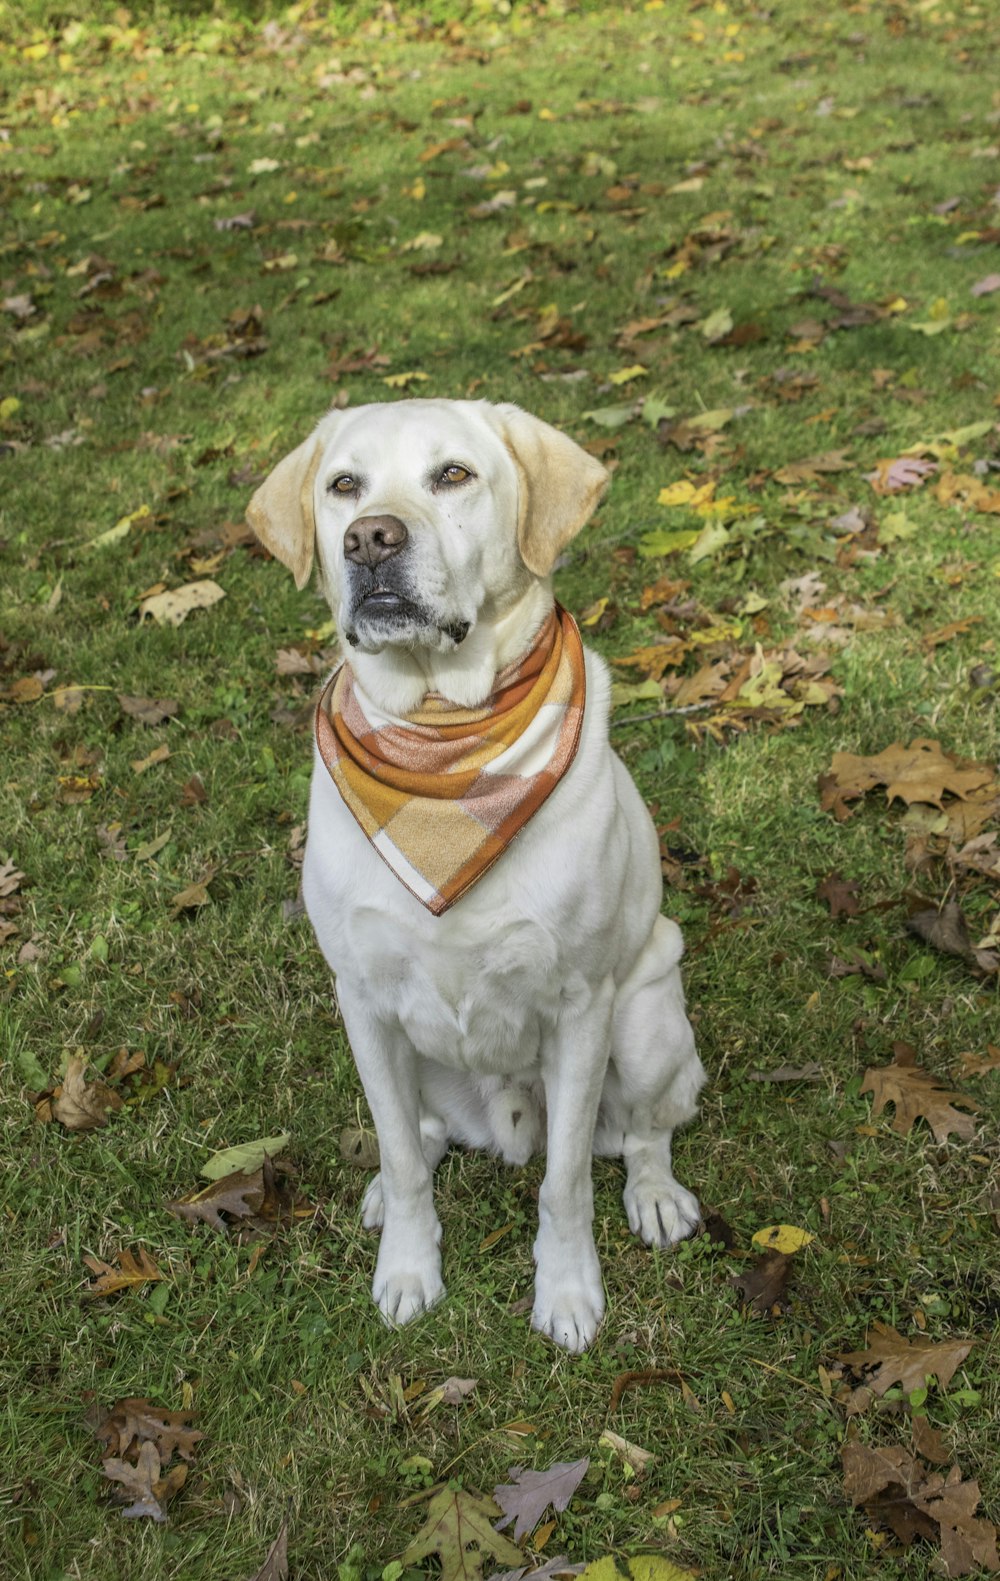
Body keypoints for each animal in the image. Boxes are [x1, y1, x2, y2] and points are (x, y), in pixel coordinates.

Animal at [248, 401, 701, 1353]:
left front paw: (566, 1291)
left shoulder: (580, 1005)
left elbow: (565, 1182)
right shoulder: (362, 998)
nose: (370, 538)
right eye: (344, 484)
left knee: (645, 1132)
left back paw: (653, 1195)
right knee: (416, 1136)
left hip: (646, 1024)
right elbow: (401, 1158)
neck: (439, 741)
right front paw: (408, 1269)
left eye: (453, 474)